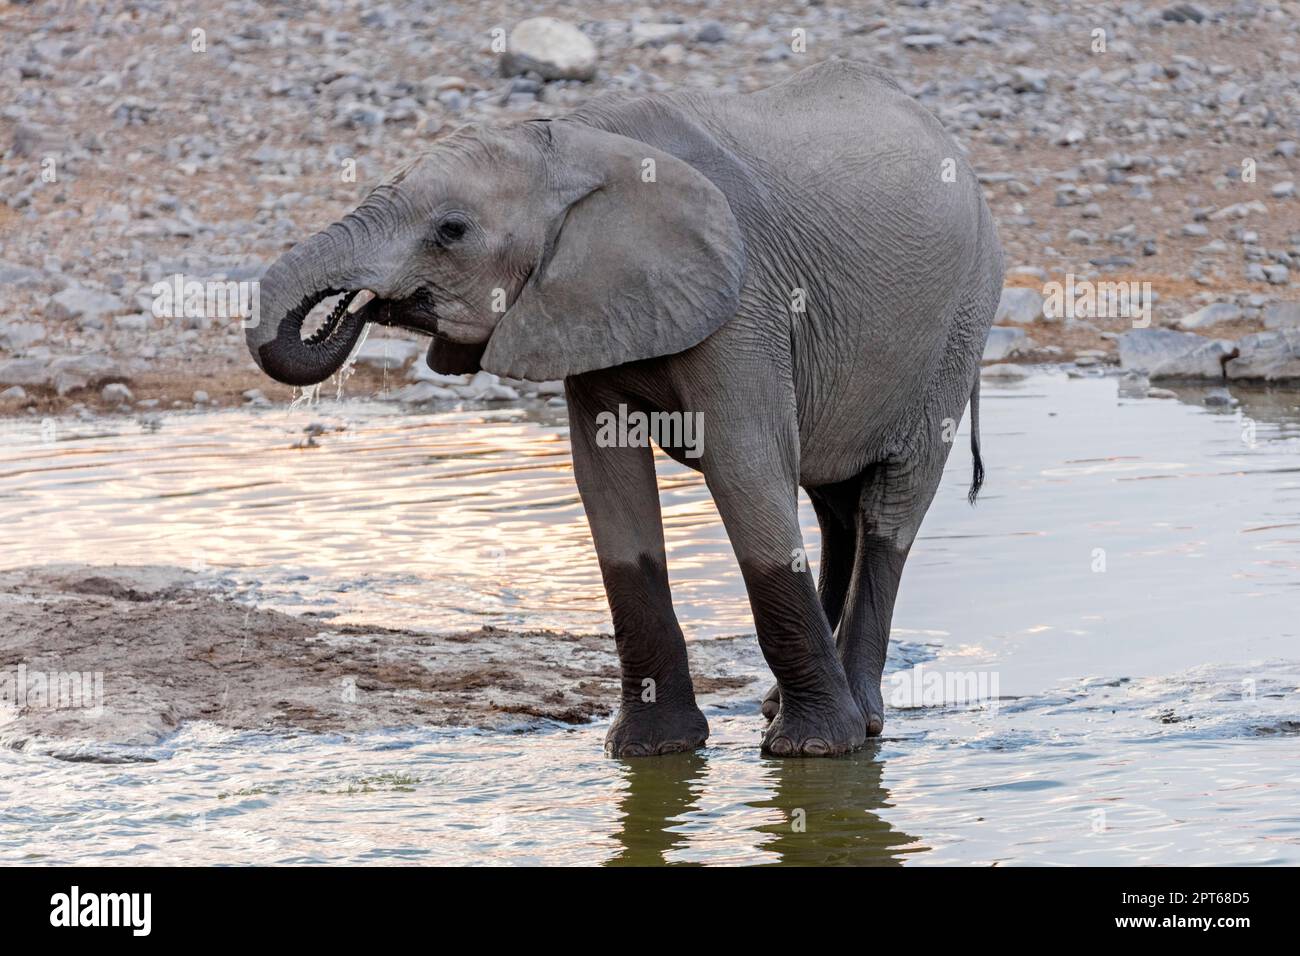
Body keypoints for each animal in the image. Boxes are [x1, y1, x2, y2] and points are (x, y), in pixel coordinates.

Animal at [248, 61, 1008, 764]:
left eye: (452, 230)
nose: (349, 308)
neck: (579, 144)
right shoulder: (588, 304)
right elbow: (608, 484)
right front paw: (650, 752)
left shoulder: (744, 302)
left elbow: (745, 467)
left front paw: (814, 752)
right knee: (833, 505)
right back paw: (783, 705)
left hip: (960, 326)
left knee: (890, 508)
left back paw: (862, 724)